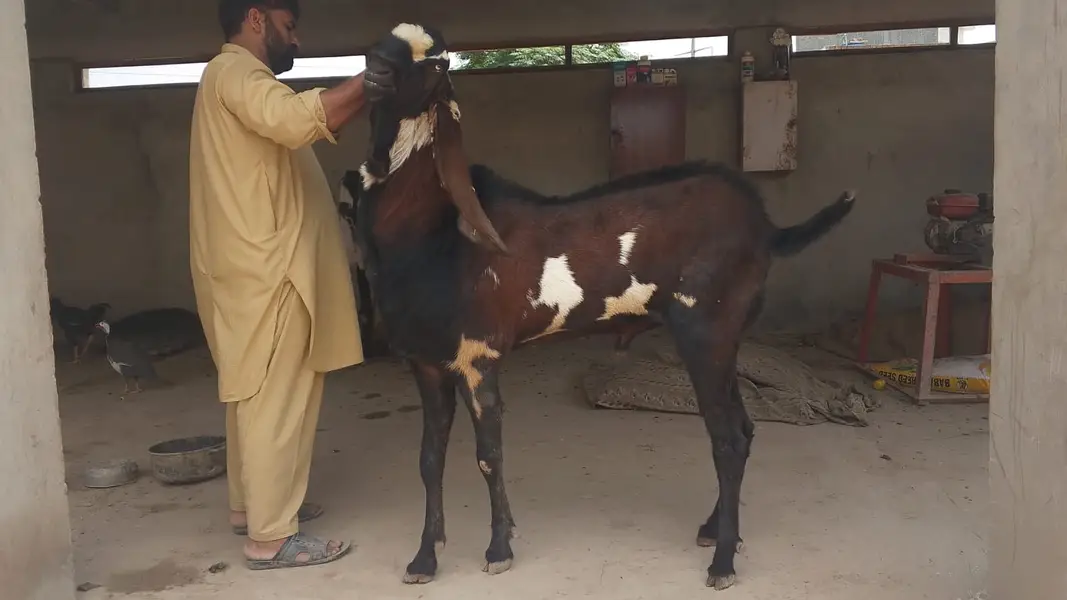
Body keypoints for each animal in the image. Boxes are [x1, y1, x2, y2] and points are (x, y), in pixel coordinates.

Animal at [345, 23, 857, 590]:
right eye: (383, 45)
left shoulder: (479, 357)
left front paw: (498, 548)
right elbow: (429, 460)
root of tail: (765, 225)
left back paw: (722, 560)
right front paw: (424, 558)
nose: (375, 67)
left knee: (725, 439)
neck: (434, 232)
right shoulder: (427, 362)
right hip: (726, 338)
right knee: (743, 431)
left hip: (707, 331)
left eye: (429, 63)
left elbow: (488, 455)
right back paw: (716, 530)